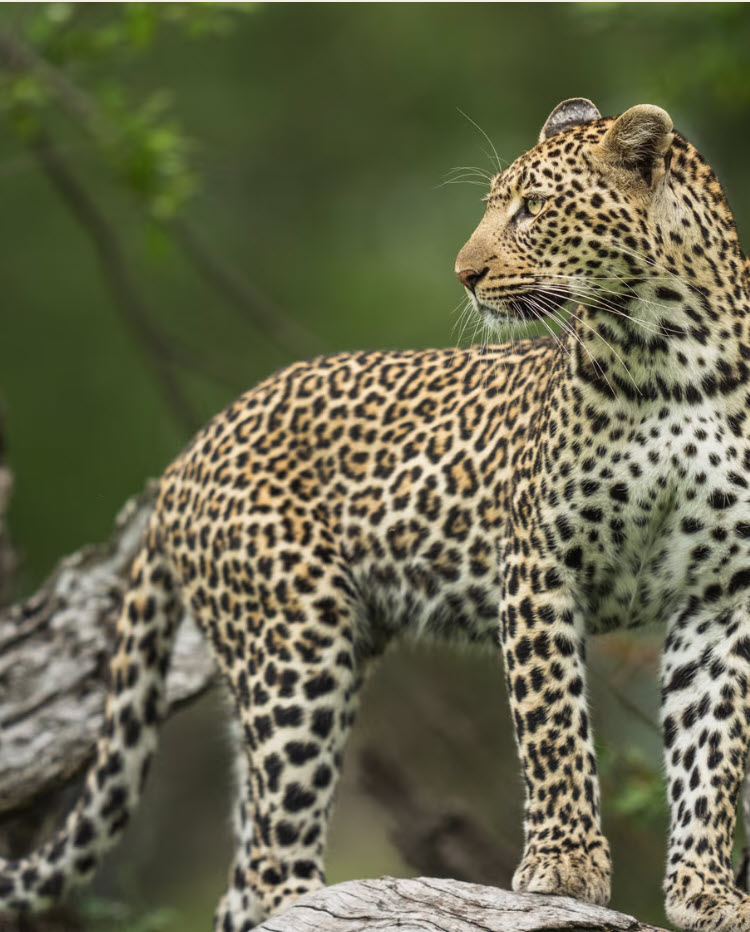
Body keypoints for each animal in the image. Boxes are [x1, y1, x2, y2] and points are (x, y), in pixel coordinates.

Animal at [2, 96, 750, 932]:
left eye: (531, 208)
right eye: (496, 204)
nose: (465, 273)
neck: (667, 352)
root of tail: (185, 458)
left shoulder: (720, 599)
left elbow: (712, 754)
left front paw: (707, 892)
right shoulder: (539, 565)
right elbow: (552, 723)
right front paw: (564, 866)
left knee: (245, 870)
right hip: (298, 642)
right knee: (270, 865)